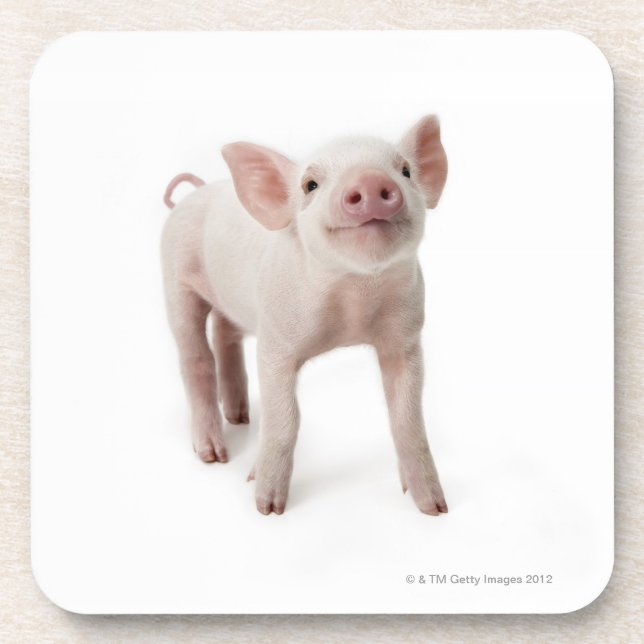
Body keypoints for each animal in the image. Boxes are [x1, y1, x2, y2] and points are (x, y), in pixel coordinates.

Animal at [161, 115, 448, 516]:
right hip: (175, 282)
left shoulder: (405, 338)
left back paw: (241, 416)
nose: (370, 180)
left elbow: (407, 418)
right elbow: (285, 419)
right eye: (310, 184)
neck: (354, 298)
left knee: (225, 336)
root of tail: (196, 192)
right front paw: (266, 507)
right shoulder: (275, 342)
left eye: (405, 170)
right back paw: (214, 456)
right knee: (195, 359)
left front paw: (434, 507)